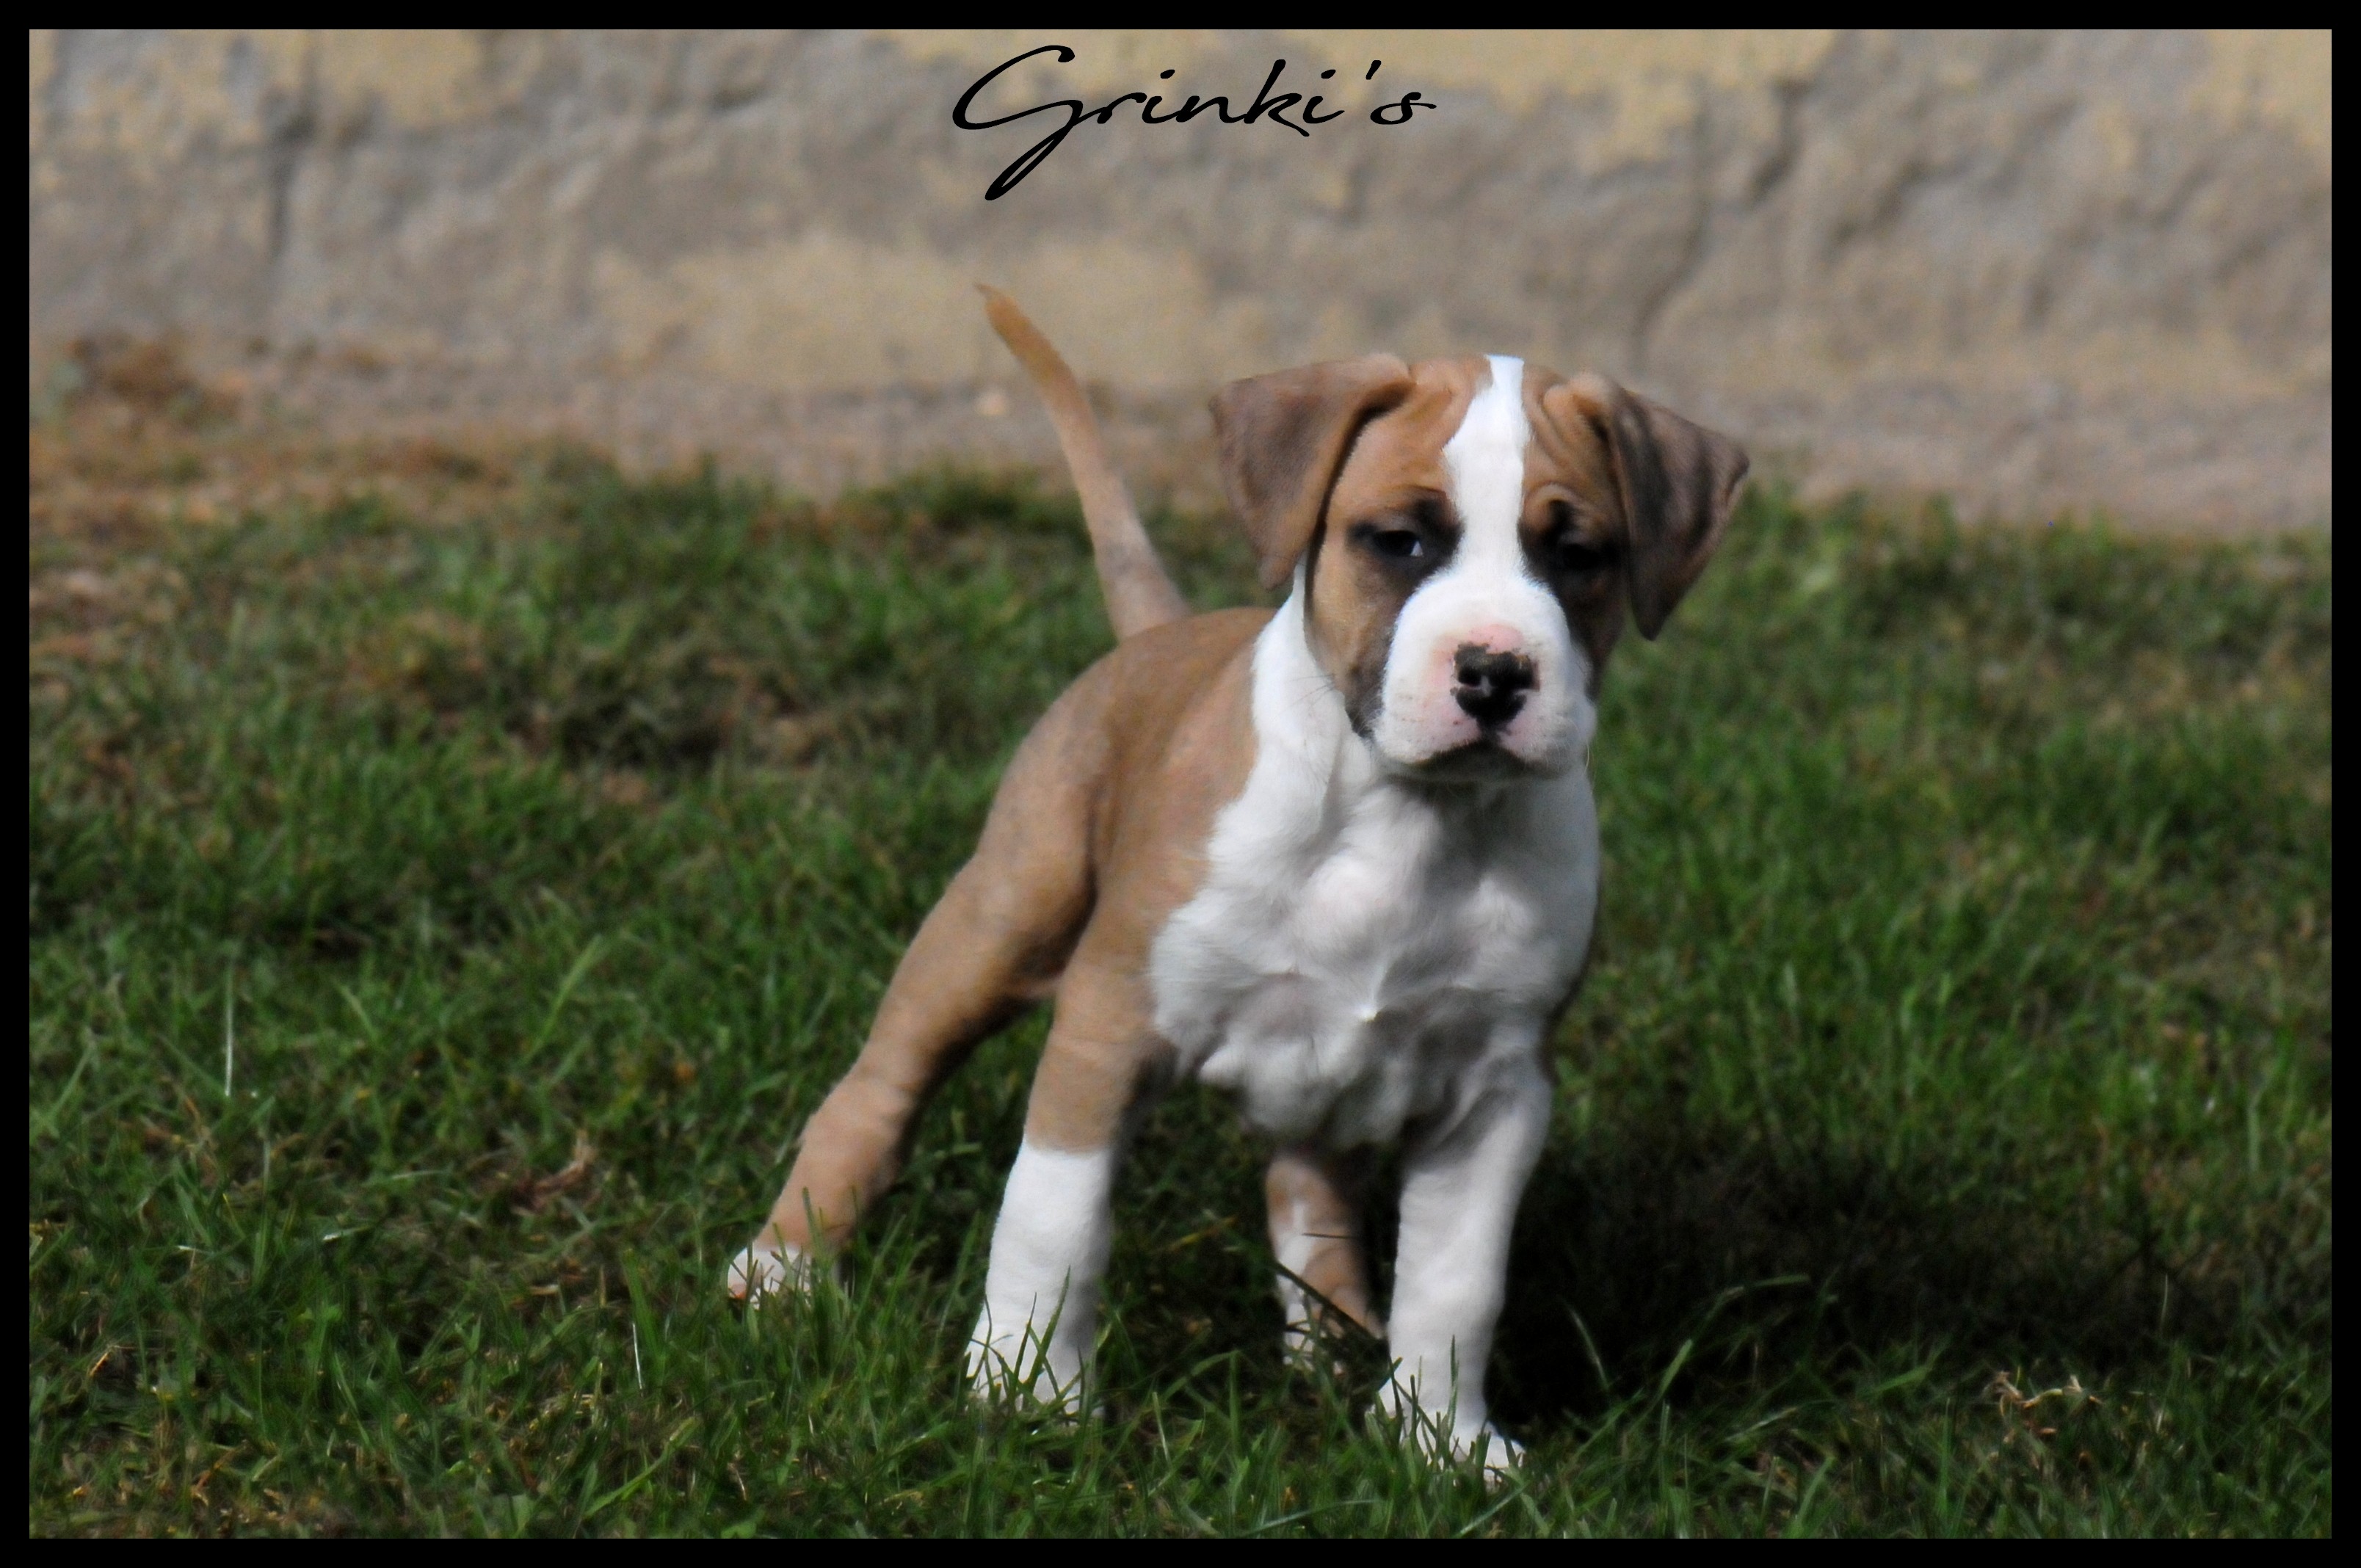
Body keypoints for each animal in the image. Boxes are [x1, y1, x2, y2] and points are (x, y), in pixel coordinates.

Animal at [730, 288, 1746, 1472]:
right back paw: (784, 1269)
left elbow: (1458, 1282)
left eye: (1577, 554)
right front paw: (1027, 1397)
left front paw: (1439, 1442)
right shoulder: (1106, 1028)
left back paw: (1333, 1344)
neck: (1408, 821)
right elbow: (1053, 1218)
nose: (1495, 674)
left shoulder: (1499, 1091)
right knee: (879, 1091)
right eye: (1400, 541)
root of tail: (1161, 633)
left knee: (1306, 1189)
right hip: (999, 919)